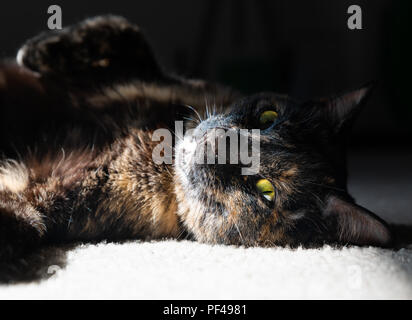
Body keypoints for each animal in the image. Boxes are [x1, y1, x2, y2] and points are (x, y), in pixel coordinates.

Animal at [0, 15, 392, 264]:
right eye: (268, 118)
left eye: (266, 191)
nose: (218, 145)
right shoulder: (169, 78)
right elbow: (125, 29)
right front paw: (39, 49)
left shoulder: (50, 197)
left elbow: (25, 224)